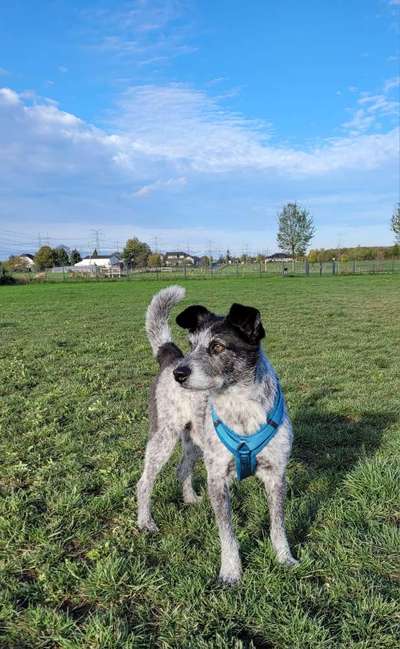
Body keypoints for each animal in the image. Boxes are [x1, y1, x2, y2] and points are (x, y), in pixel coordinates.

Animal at [138, 284, 296, 584]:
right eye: (192, 345)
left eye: (218, 347)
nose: (180, 374)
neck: (240, 406)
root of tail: (170, 358)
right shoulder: (218, 479)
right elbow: (227, 534)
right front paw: (231, 572)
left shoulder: (276, 475)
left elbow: (278, 524)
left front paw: (284, 558)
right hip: (163, 438)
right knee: (143, 483)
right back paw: (145, 522)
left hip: (194, 443)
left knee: (182, 469)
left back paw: (190, 499)